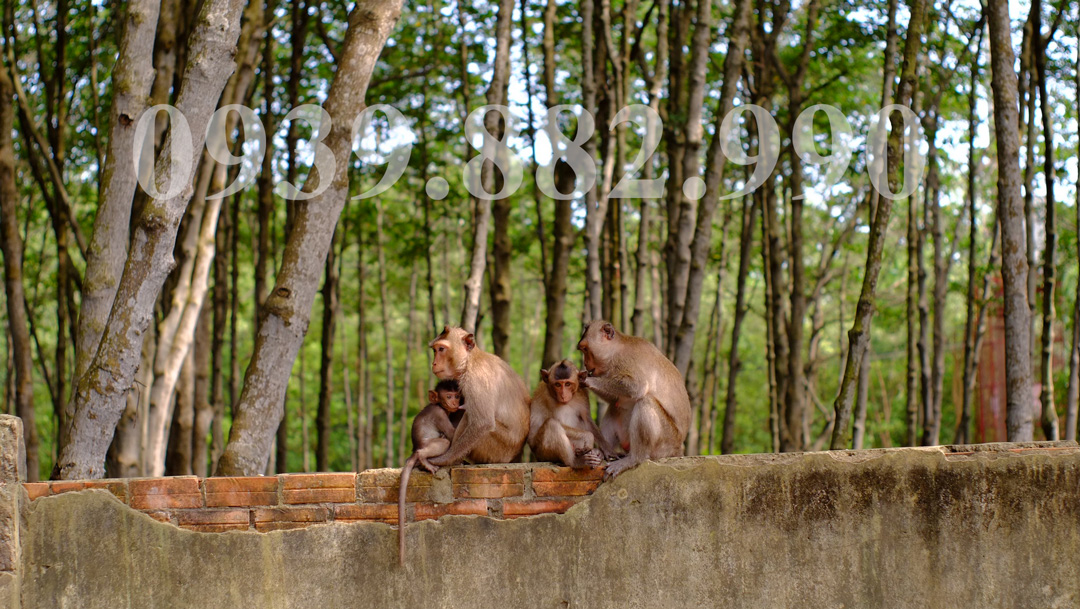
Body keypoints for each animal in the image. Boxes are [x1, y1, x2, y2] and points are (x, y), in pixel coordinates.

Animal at [399, 377, 462, 570]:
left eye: (457, 395)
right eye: (448, 396)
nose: (455, 402)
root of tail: (414, 450)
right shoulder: (440, 414)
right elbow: (452, 434)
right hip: (429, 445)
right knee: (444, 441)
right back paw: (425, 460)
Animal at [427, 328, 533, 466]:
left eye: (441, 349)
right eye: (435, 350)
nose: (434, 363)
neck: (470, 360)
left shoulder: (476, 378)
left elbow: (483, 423)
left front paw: (443, 459)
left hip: (499, 449)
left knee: (469, 416)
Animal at [574, 321, 691, 477]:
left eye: (585, 349)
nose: (585, 363)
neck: (616, 350)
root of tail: (678, 448)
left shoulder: (627, 360)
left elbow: (637, 387)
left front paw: (586, 379)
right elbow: (614, 399)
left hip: (666, 442)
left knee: (645, 401)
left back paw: (634, 459)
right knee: (615, 407)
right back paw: (603, 452)